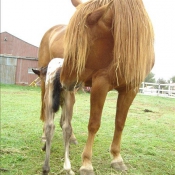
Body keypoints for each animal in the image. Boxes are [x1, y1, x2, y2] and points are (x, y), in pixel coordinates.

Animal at [60, 0, 154, 175]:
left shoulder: (131, 89)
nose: (64, 81)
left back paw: (70, 136)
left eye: (82, 45)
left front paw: (117, 158)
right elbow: (94, 124)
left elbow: (120, 123)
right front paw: (87, 163)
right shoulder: (100, 84)